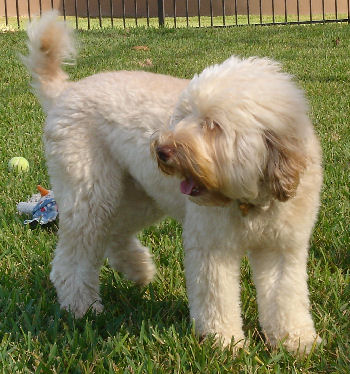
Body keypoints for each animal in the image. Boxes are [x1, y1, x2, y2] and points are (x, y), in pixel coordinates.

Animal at [23, 11, 322, 354]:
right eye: (184, 115)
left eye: (212, 125)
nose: (162, 149)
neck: (250, 201)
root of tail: (65, 91)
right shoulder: (211, 246)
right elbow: (216, 298)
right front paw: (224, 343)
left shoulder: (283, 248)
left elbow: (285, 297)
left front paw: (296, 340)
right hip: (90, 193)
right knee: (73, 259)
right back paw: (82, 307)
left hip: (138, 195)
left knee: (115, 233)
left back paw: (138, 269)